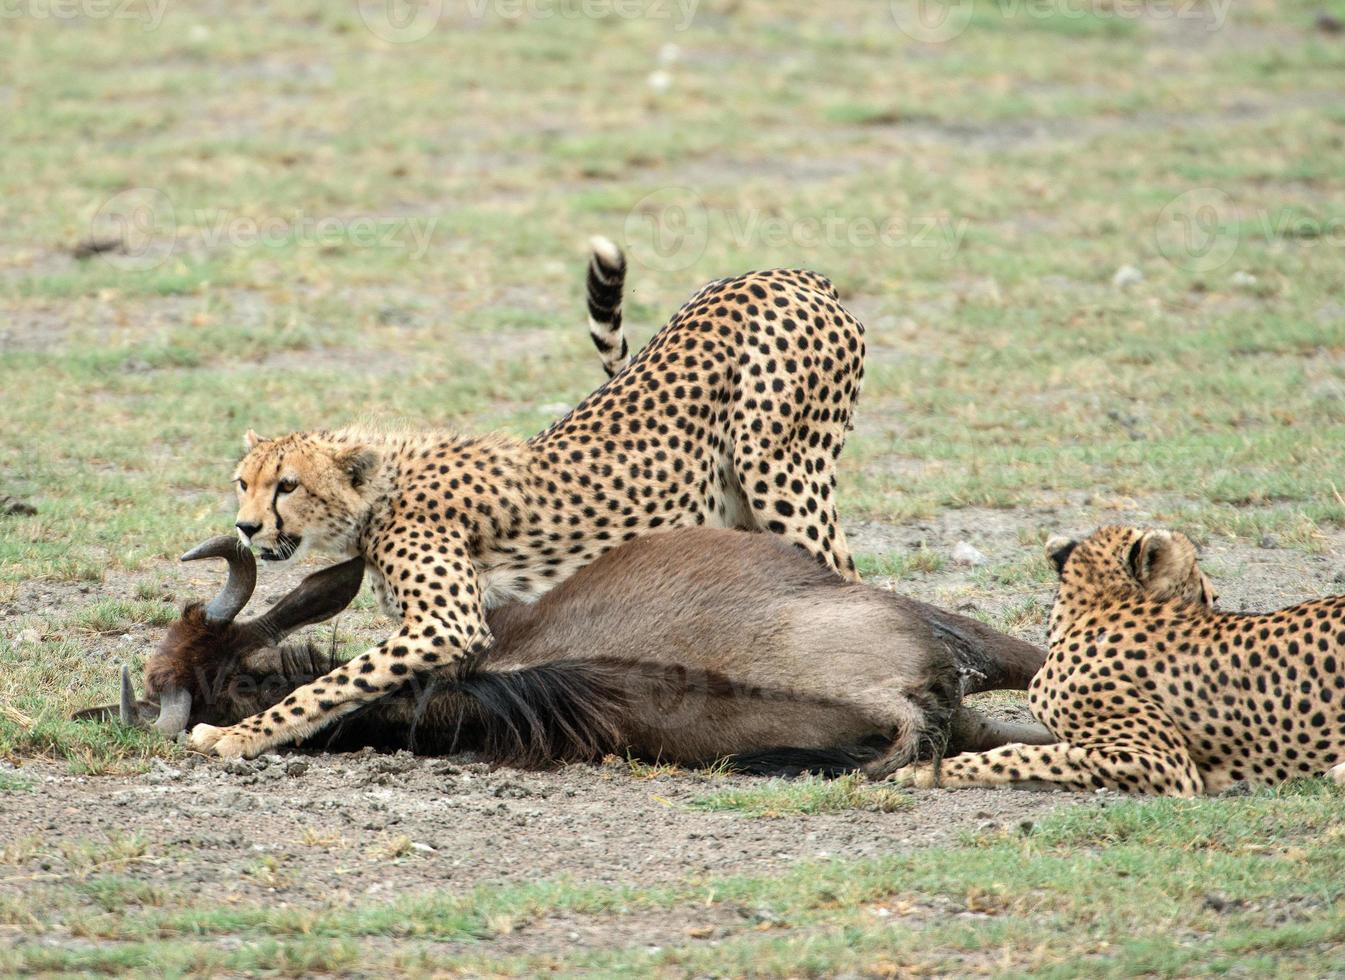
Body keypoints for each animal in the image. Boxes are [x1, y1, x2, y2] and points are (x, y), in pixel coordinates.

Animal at [186, 243, 860, 758]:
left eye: (288, 485)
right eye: (242, 483)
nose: (246, 527)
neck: (378, 495)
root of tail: (789, 274)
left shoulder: (449, 622)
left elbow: (331, 683)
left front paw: (236, 735)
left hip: (780, 473)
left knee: (843, 579)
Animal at [898, 526, 1345, 795]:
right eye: (1198, 581)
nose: (1216, 596)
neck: (1097, 606)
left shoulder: (1166, 763)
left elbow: (1029, 755)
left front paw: (927, 771)